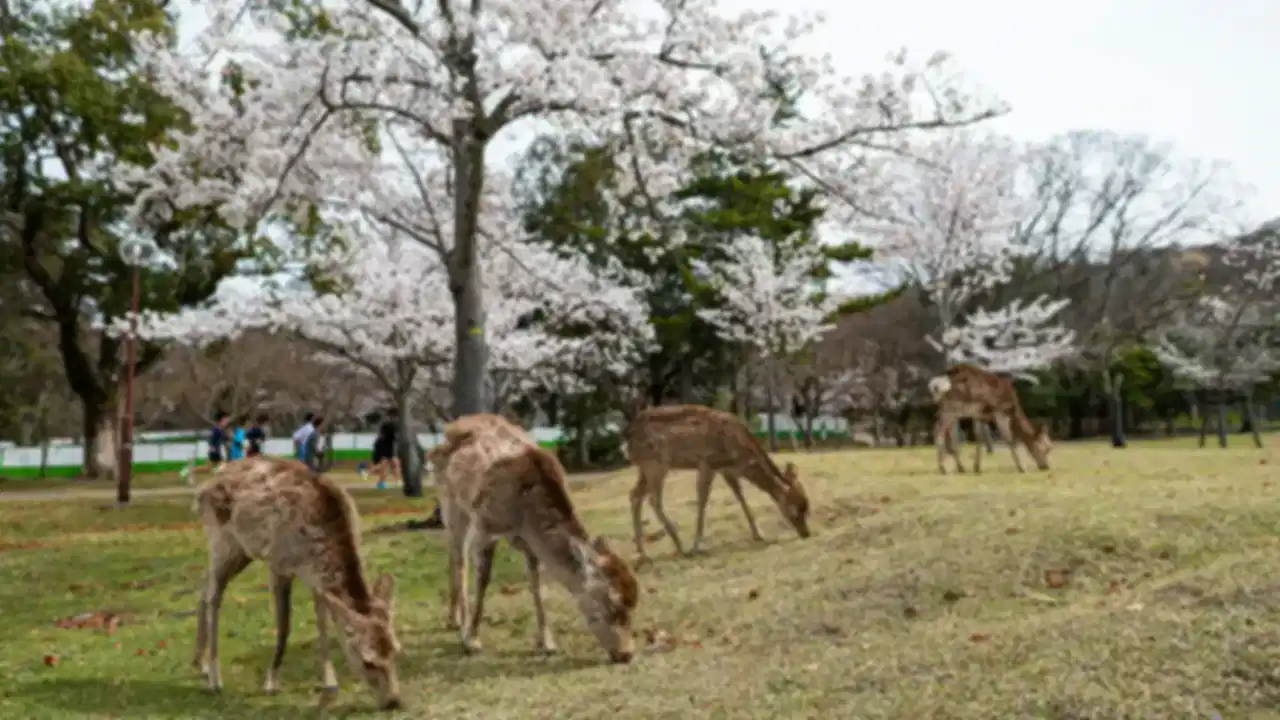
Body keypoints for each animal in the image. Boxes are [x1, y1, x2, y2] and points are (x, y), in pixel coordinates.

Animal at [190, 457, 403, 710]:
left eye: (396, 651)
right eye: (367, 661)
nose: (393, 701)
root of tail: (202, 489)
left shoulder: (316, 579)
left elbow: (322, 622)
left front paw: (330, 681)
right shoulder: (279, 563)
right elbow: (284, 626)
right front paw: (271, 682)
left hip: (242, 550)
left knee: (205, 581)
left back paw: (199, 663)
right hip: (222, 540)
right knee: (214, 595)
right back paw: (215, 679)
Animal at [429, 413, 639, 664]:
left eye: (634, 603)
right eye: (612, 607)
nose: (626, 654)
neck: (524, 516)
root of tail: (453, 427)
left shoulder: (529, 543)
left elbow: (537, 584)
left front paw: (547, 643)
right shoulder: (486, 525)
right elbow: (484, 578)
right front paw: (472, 640)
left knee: (453, 554)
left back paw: (453, 619)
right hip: (450, 502)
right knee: (459, 557)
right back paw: (460, 624)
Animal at [622, 404, 811, 559]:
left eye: (807, 506)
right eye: (795, 508)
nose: (806, 533)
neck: (738, 454)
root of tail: (627, 441)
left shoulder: (726, 469)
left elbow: (739, 495)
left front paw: (758, 534)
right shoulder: (707, 462)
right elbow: (702, 499)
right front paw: (697, 545)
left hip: (645, 469)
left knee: (635, 495)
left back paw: (642, 552)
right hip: (656, 465)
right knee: (653, 500)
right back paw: (681, 547)